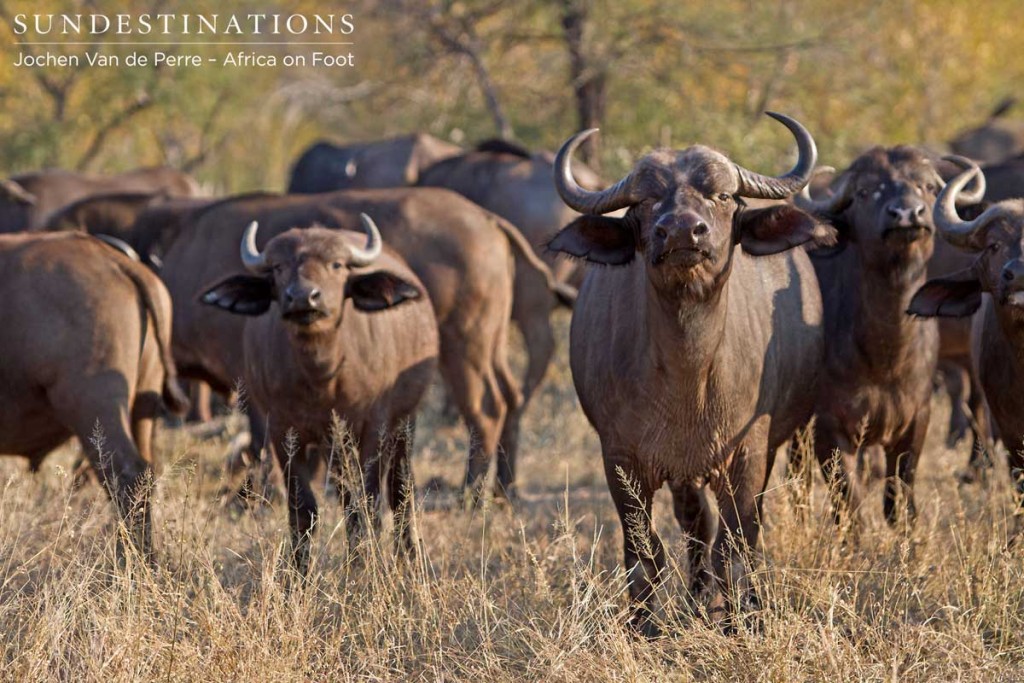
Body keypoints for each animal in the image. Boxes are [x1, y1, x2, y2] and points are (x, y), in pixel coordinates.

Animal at [201, 216, 438, 573]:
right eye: (278, 267)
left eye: (336, 265)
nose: (303, 298)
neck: (321, 378)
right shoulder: (282, 432)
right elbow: (303, 510)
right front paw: (299, 573)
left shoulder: (373, 428)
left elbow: (367, 505)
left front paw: (363, 567)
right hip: (334, 445)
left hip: (404, 422)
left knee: (399, 489)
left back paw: (407, 556)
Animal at [548, 113, 827, 634]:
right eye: (645, 201)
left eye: (721, 195)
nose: (681, 232)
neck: (688, 373)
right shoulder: (621, 458)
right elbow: (644, 552)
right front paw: (644, 627)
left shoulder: (748, 450)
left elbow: (735, 548)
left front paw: (740, 620)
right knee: (696, 525)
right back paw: (697, 599)